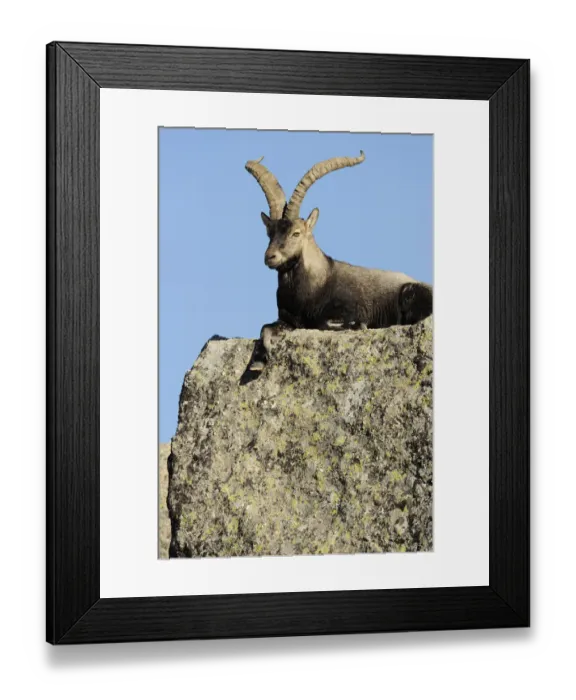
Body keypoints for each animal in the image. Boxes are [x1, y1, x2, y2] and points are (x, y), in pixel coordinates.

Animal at [244, 151, 433, 372]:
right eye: (270, 233)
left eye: (296, 233)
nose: (270, 256)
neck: (312, 287)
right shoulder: (288, 318)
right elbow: (265, 328)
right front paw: (257, 362)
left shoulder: (348, 309)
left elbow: (326, 324)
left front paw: (358, 325)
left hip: (409, 292)